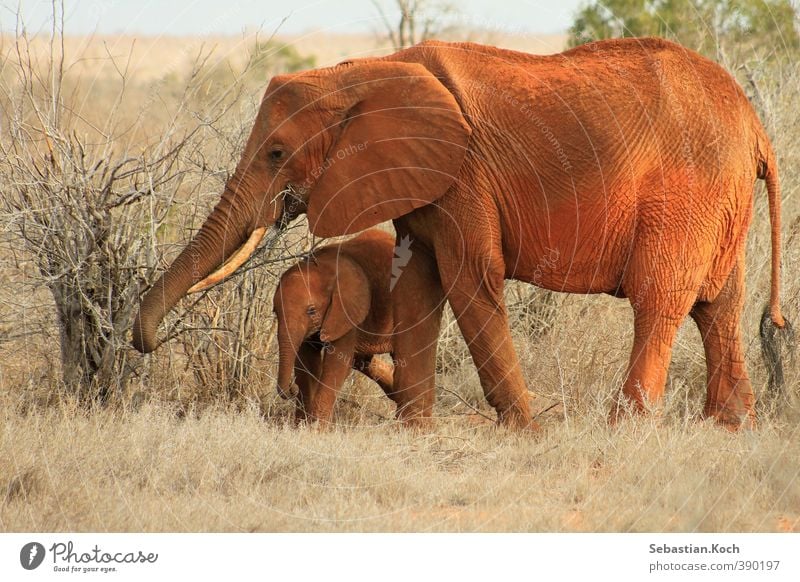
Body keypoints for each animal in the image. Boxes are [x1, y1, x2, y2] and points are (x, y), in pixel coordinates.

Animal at [272, 230, 440, 426]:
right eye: (275, 312)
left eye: (311, 310)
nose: (292, 388)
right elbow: (307, 363)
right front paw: (301, 426)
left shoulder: (348, 311)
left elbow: (336, 365)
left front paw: (316, 428)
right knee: (363, 360)